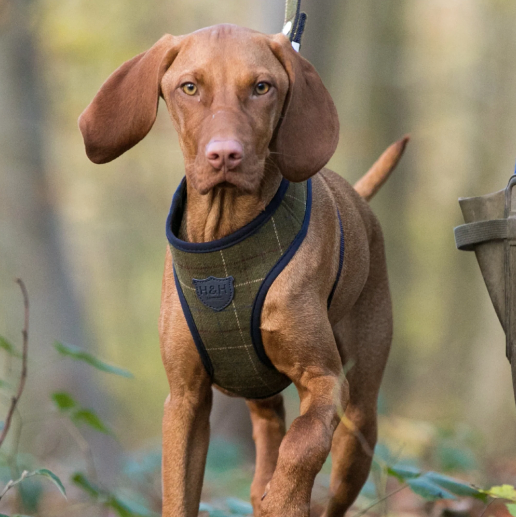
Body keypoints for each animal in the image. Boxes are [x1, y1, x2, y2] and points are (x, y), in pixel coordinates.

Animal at [79, 23, 408, 516]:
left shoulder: (326, 381)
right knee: (269, 432)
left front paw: (285, 501)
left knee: (331, 481)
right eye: (189, 87)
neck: (227, 236)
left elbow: (303, 444)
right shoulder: (185, 399)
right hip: (259, 388)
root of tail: (358, 199)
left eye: (261, 87)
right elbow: (179, 492)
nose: (225, 155)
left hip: (360, 418)